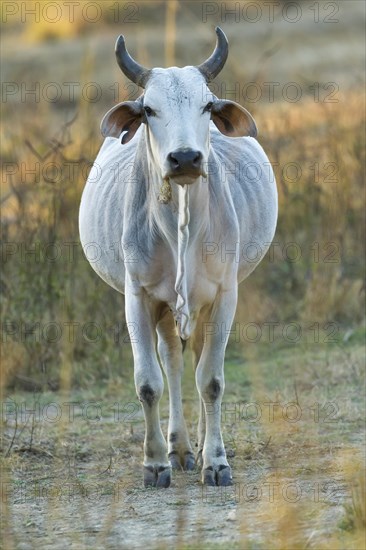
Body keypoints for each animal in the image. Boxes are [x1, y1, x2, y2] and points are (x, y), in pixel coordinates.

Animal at [78, 28, 278, 490]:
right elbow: (149, 383)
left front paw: (217, 462)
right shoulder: (137, 297)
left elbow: (212, 380)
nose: (186, 158)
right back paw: (180, 449)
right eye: (149, 109)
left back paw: (200, 448)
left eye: (207, 105)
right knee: (171, 360)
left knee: (199, 358)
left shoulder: (225, 295)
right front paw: (154, 464)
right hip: (166, 307)